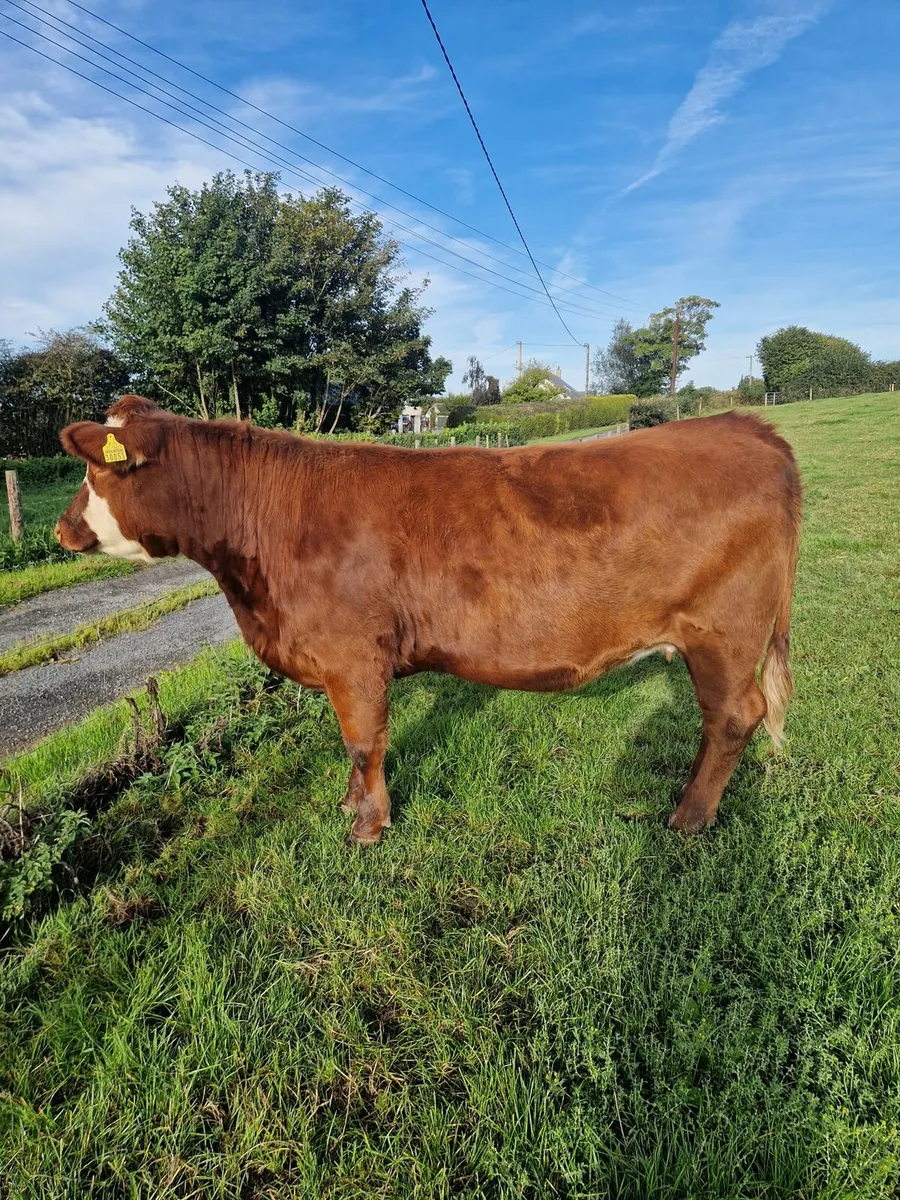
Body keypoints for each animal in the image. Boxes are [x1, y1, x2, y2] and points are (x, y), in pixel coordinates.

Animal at [56, 394, 801, 844]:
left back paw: (688, 816)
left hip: (723, 632)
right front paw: (349, 806)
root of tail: (744, 425)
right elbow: (351, 747)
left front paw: (367, 827)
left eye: (95, 474)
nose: (62, 530)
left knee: (735, 716)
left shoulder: (353, 655)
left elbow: (364, 742)